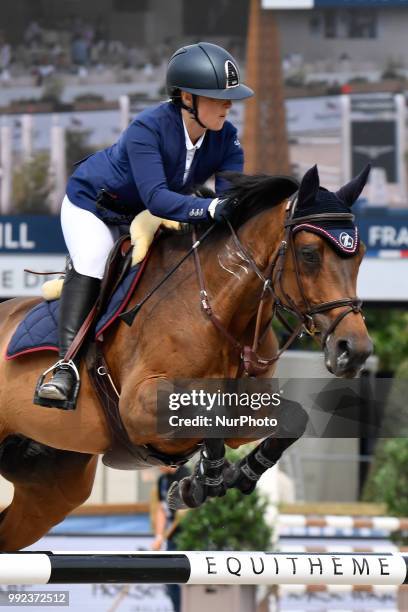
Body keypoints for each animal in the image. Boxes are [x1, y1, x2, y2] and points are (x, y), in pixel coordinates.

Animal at [0, 163, 372, 548]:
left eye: (359, 255)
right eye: (310, 254)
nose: (354, 351)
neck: (218, 311)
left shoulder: (253, 408)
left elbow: (291, 420)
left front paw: (230, 477)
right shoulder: (138, 405)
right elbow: (211, 412)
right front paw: (205, 481)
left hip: (54, 487)